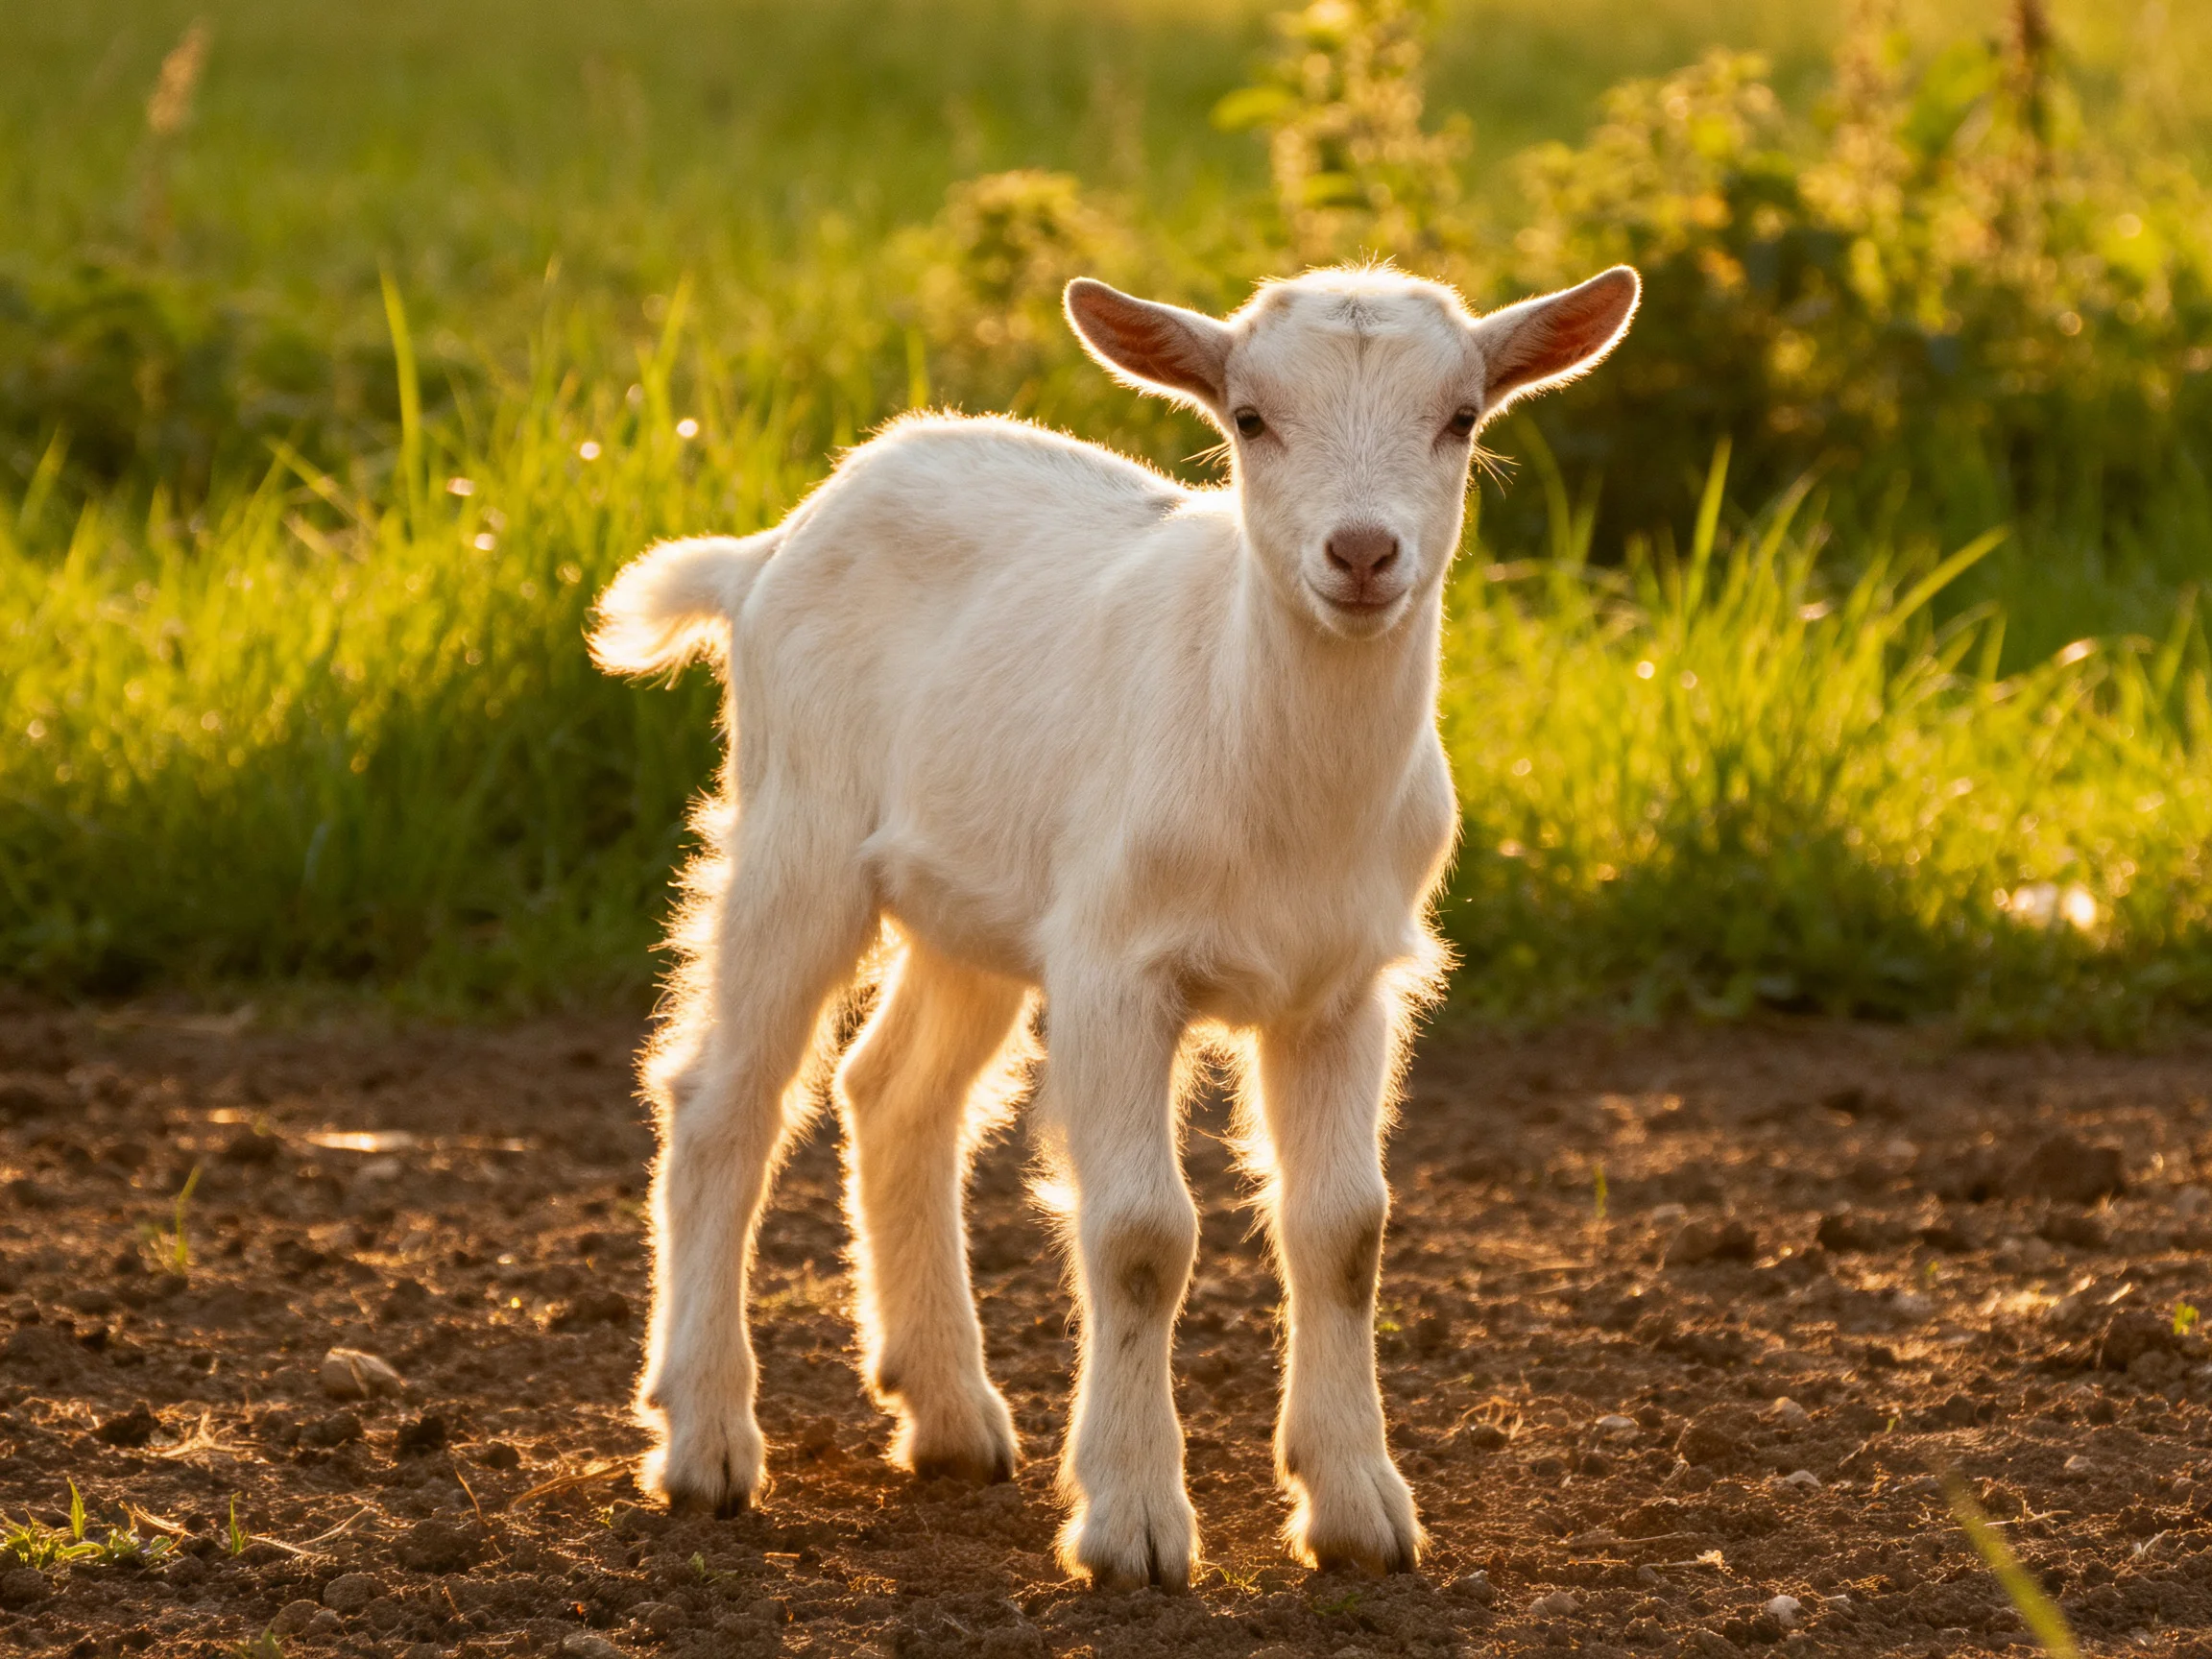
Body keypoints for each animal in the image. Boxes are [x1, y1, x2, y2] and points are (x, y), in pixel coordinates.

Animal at [589, 261, 1639, 1589]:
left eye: (1461, 418)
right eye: (1250, 418)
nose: (1362, 553)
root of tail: (774, 544)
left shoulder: (1344, 985)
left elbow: (1346, 1230)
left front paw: (1358, 1512)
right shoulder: (1116, 969)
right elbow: (1142, 1234)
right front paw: (1132, 1524)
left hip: (978, 899)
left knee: (895, 1091)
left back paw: (950, 1416)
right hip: (799, 829)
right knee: (725, 1102)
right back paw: (707, 1442)